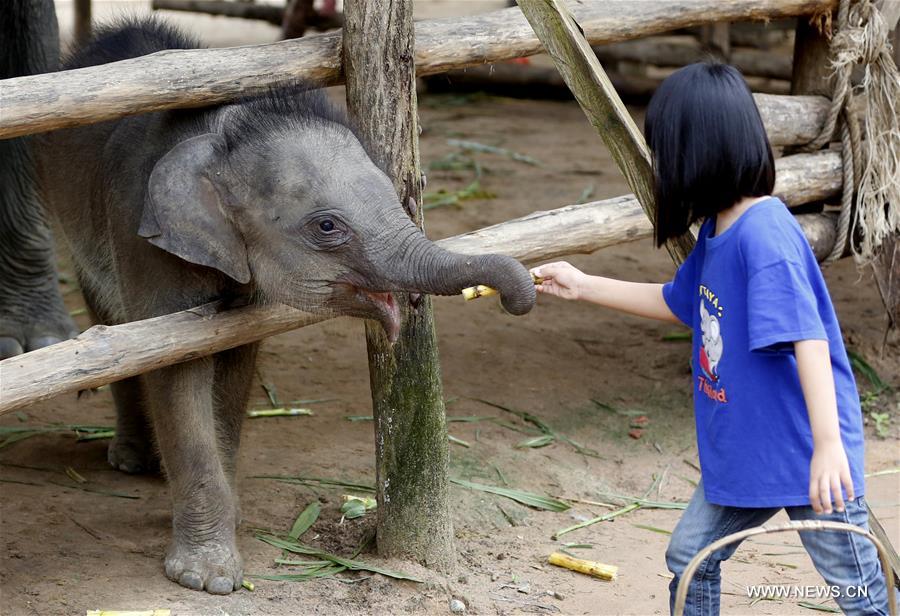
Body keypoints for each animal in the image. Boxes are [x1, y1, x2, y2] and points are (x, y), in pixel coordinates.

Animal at [35, 17, 536, 594]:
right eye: (327, 226)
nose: (519, 298)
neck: (225, 133)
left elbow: (235, 359)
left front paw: (231, 521)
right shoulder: (144, 238)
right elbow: (177, 365)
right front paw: (209, 579)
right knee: (110, 320)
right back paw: (133, 461)